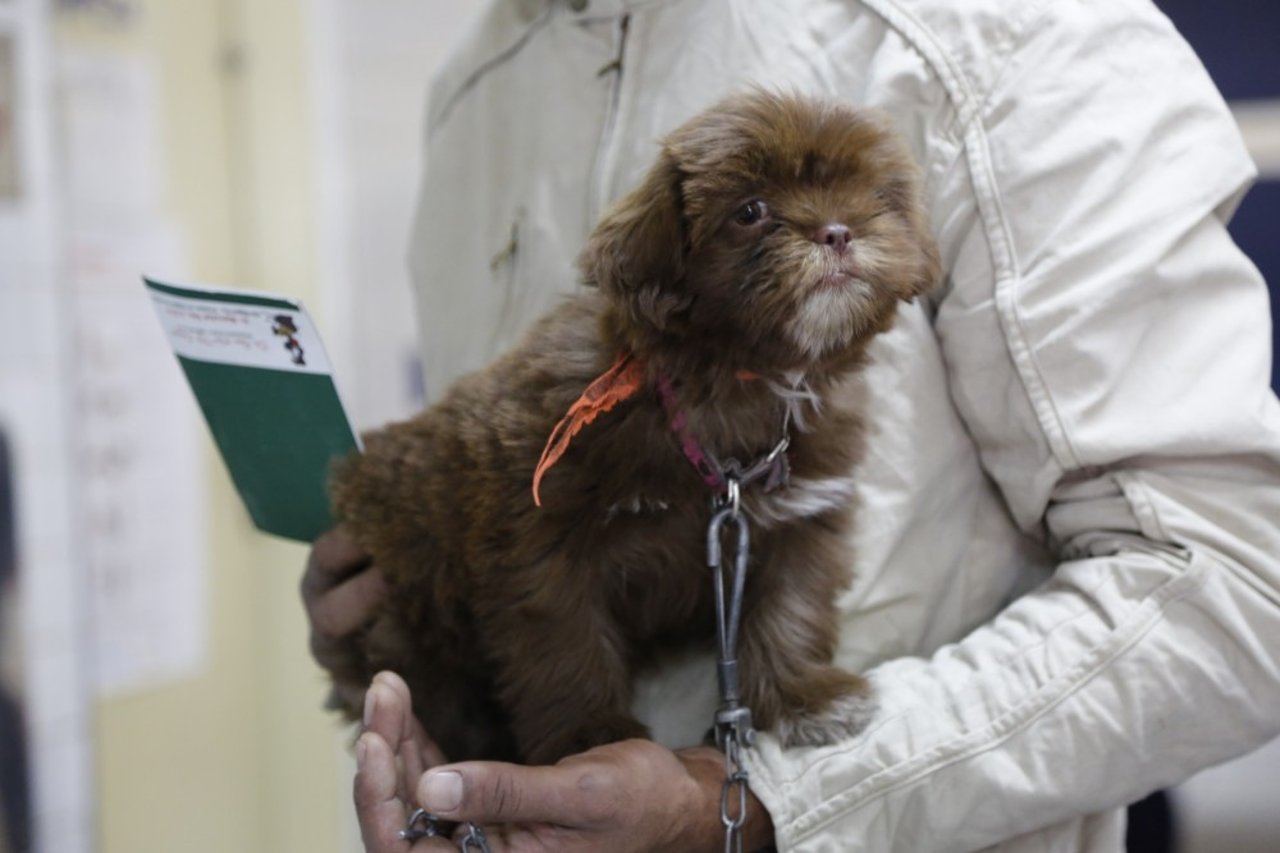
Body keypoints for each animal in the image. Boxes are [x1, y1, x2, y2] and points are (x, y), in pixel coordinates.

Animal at [330, 92, 942, 763]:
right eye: (750, 211)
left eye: (875, 197)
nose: (836, 230)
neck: (735, 383)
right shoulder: (538, 537)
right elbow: (563, 637)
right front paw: (589, 736)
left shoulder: (801, 520)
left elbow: (792, 608)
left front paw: (804, 697)